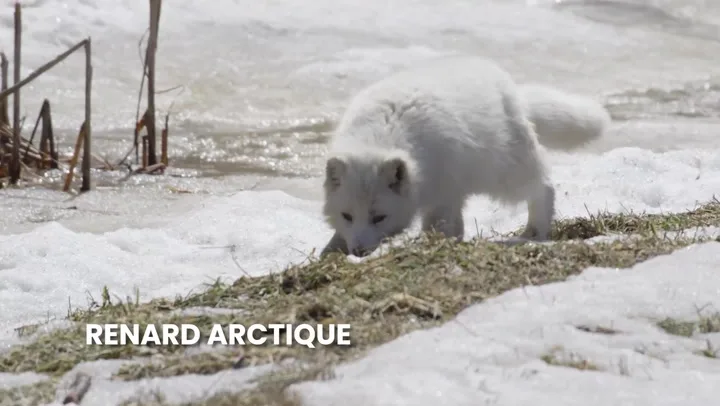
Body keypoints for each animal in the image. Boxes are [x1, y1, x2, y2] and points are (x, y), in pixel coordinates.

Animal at [320, 56, 610, 257]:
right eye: (347, 216)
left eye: (379, 217)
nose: (358, 251)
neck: (381, 136)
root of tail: (509, 89)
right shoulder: (445, 194)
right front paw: (330, 251)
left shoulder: (442, 195)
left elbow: (438, 228)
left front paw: (430, 248)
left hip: (504, 174)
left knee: (544, 187)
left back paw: (535, 232)